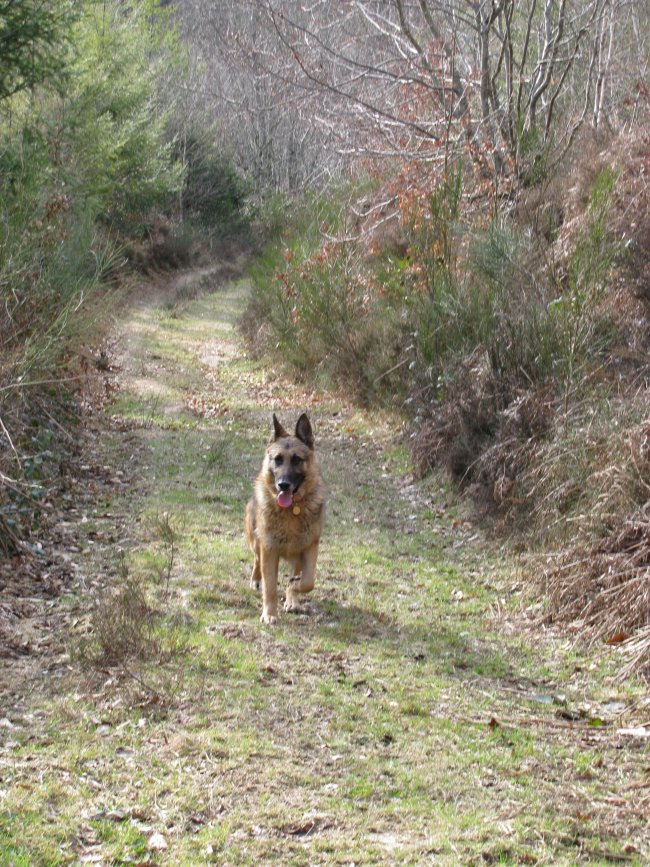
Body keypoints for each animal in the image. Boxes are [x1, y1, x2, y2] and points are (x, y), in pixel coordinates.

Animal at [244, 414, 324, 624]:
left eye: (297, 460)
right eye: (278, 460)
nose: (283, 485)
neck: (292, 510)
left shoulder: (309, 547)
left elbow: (307, 581)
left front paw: (293, 589)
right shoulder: (269, 550)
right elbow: (270, 586)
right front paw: (270, 614)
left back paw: (292, 598)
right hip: (256, 541)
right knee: (257, 560)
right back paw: (256, 579)